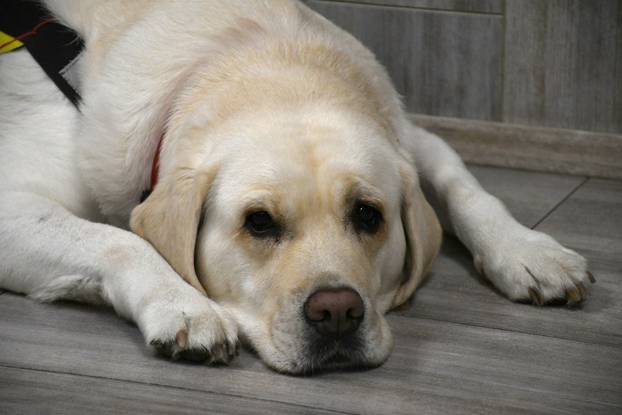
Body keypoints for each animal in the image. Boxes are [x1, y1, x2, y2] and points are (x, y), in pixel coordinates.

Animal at [0, 0, 596, 376]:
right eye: (258, 222)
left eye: (368, 214)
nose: (337, 313)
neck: (256, 57)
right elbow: (120, 239)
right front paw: (184, 307)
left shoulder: (410, 135)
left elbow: (464, 185)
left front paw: (528, 252)